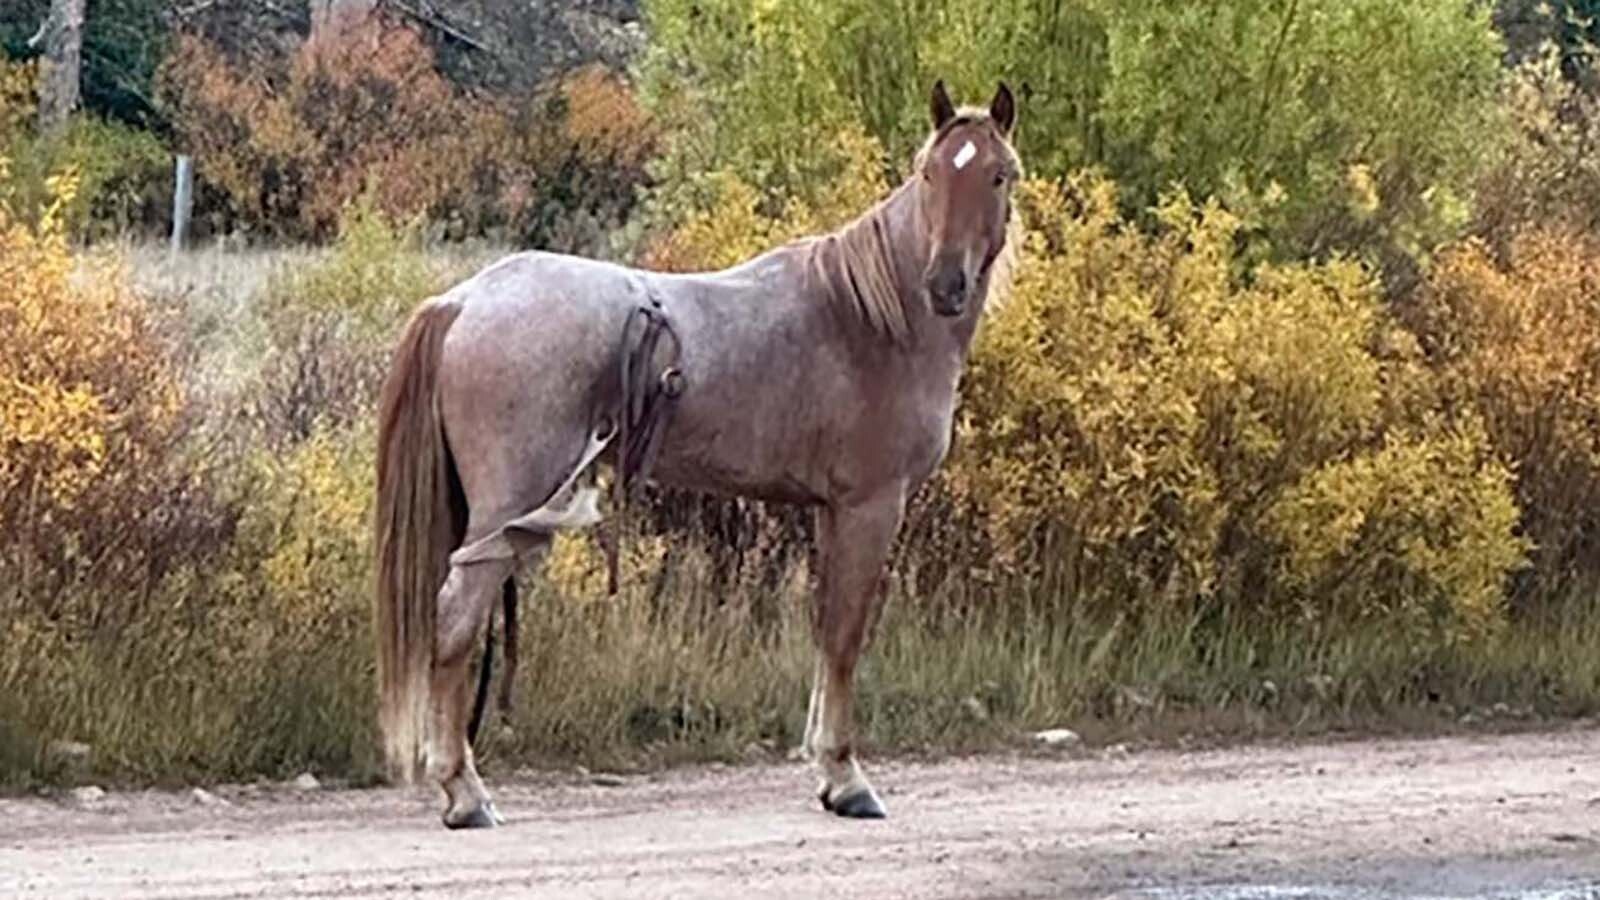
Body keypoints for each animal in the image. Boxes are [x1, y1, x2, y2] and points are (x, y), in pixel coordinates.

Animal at [377, 80, 1011, 826]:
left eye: (998, 175)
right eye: (929, 173)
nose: (945, 284)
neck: (870, 320)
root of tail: (464, 299)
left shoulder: (831, 510)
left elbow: (826, 630)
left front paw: (826, 771)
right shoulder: (870, 506)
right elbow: (846, 634)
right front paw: (848, 777)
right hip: (506, 512)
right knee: (454, 619)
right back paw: (465, 793)